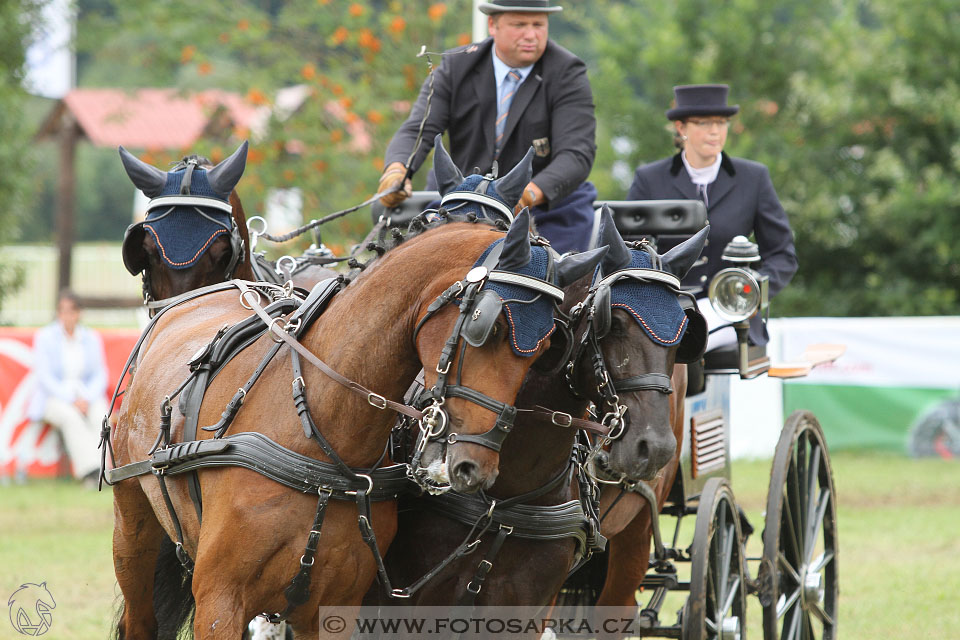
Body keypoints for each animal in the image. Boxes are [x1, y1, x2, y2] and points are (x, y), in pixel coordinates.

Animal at [109, 152, 604, 636]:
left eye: (547, 347)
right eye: (488, 326)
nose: (474, 466)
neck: (324, 439)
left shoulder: (338, 607)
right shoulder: (220, 601)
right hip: (133, 534)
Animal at [372, 206, 708, 616]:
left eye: (686, 332)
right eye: (613, 322)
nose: (655, 448)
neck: (506, 492)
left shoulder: (528, 602)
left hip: (636, 534)